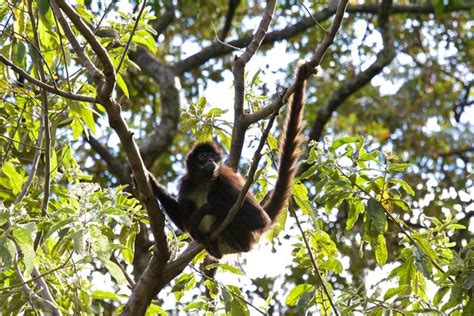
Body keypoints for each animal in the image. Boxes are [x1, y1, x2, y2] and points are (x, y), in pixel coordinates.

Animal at [148, 65, 310, 260]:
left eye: (212, 156)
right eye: (203, 157)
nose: (211, 160)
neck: (205, 181)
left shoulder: (223, 179)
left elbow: (259, 219)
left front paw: (206, 209)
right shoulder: (187, 183)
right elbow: (183, 221)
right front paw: (153, 183)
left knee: (216, 200)